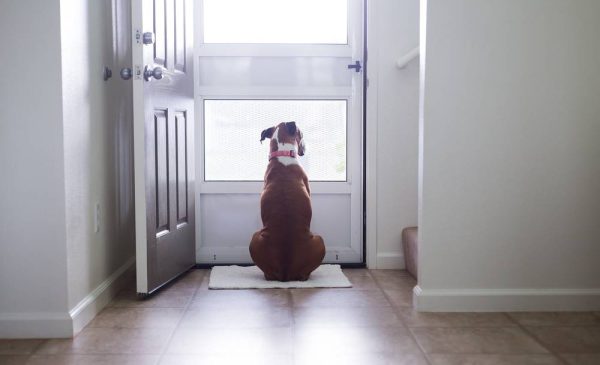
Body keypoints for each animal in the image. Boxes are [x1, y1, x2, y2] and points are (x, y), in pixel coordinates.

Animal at [248, 121, 324, 280]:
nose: (305, 148)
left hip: (254, 239)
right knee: (304, 275)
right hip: (319, 240)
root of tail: (285, 271)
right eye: (302, 134)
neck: (282, 154)